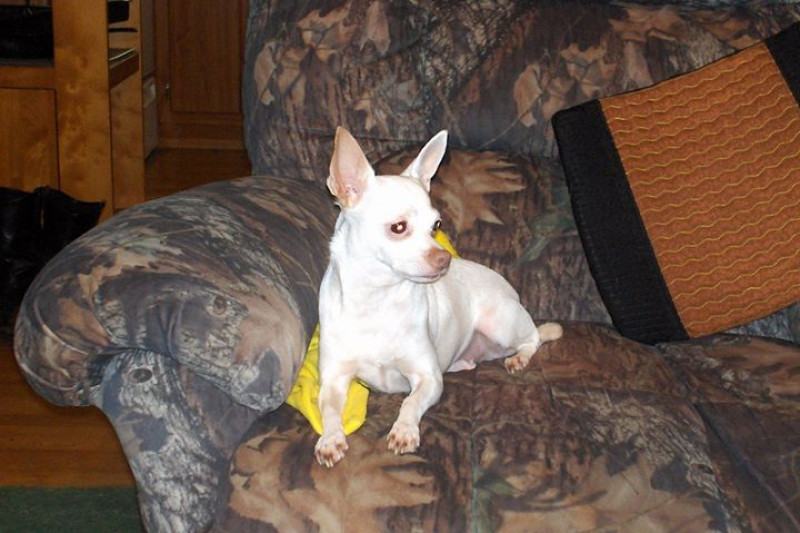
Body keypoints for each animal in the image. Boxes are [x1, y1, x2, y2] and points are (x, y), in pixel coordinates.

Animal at [315, 127, 563, 467]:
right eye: (399, 227)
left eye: (436, 226)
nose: (445, 259)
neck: (376, 300)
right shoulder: (333, 380)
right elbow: (327, 409)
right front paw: (330, 439)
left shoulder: (428, 378)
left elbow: (410, 402)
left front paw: (405, 430)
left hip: (500, 322)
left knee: (533, 338)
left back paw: (520, 357)